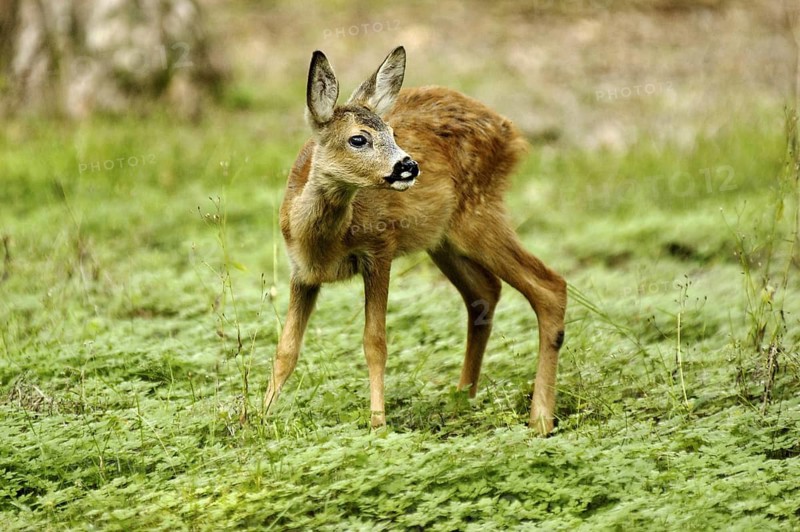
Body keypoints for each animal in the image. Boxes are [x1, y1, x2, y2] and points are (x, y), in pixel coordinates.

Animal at [264, 46, 567, 435]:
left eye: (392, 132)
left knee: (549, 285)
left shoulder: (380, 248)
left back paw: (540, 419)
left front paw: (378, 423)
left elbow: (375, 342)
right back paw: (462, 399)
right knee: (484, 292)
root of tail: (510, 131)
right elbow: (286, 349)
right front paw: (254, 419)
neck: (324, 241)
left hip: (477, 213)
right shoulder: (301, 273)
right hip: (441, 238)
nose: (408, 166)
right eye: (358, 138)